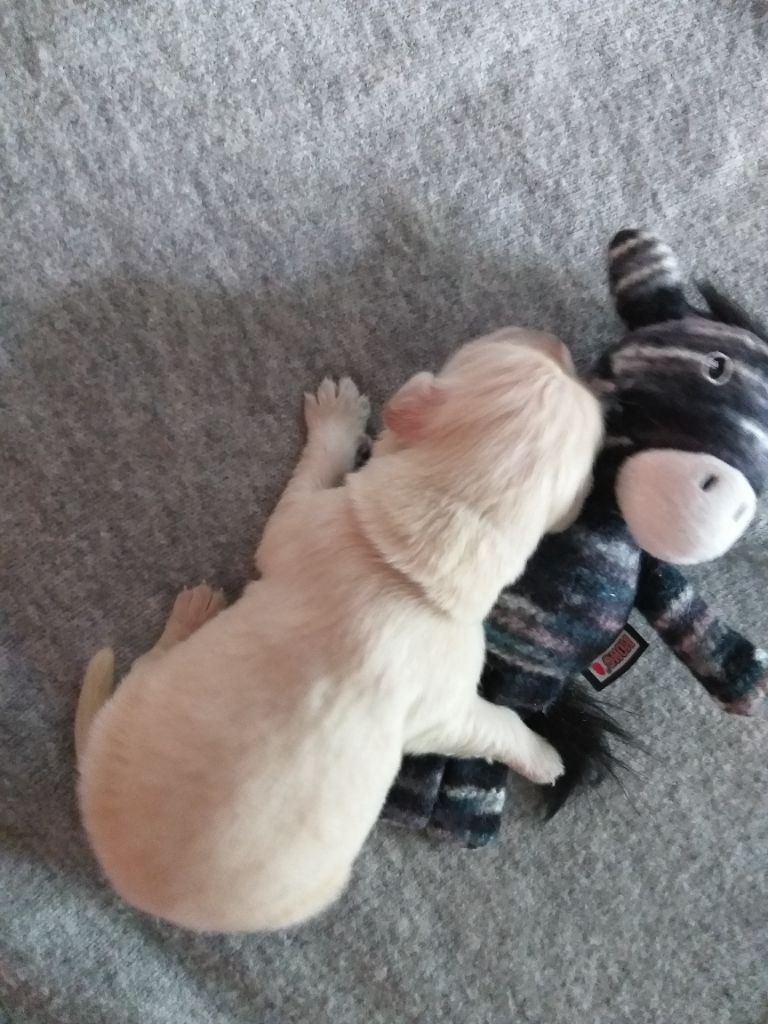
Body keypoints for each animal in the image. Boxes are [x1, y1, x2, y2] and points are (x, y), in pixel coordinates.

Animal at [75, 326, 604, 933]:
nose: (555, 342)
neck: (438, 532)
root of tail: (126, 879)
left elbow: (495, 724)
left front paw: (541, 755)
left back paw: (193, 612)